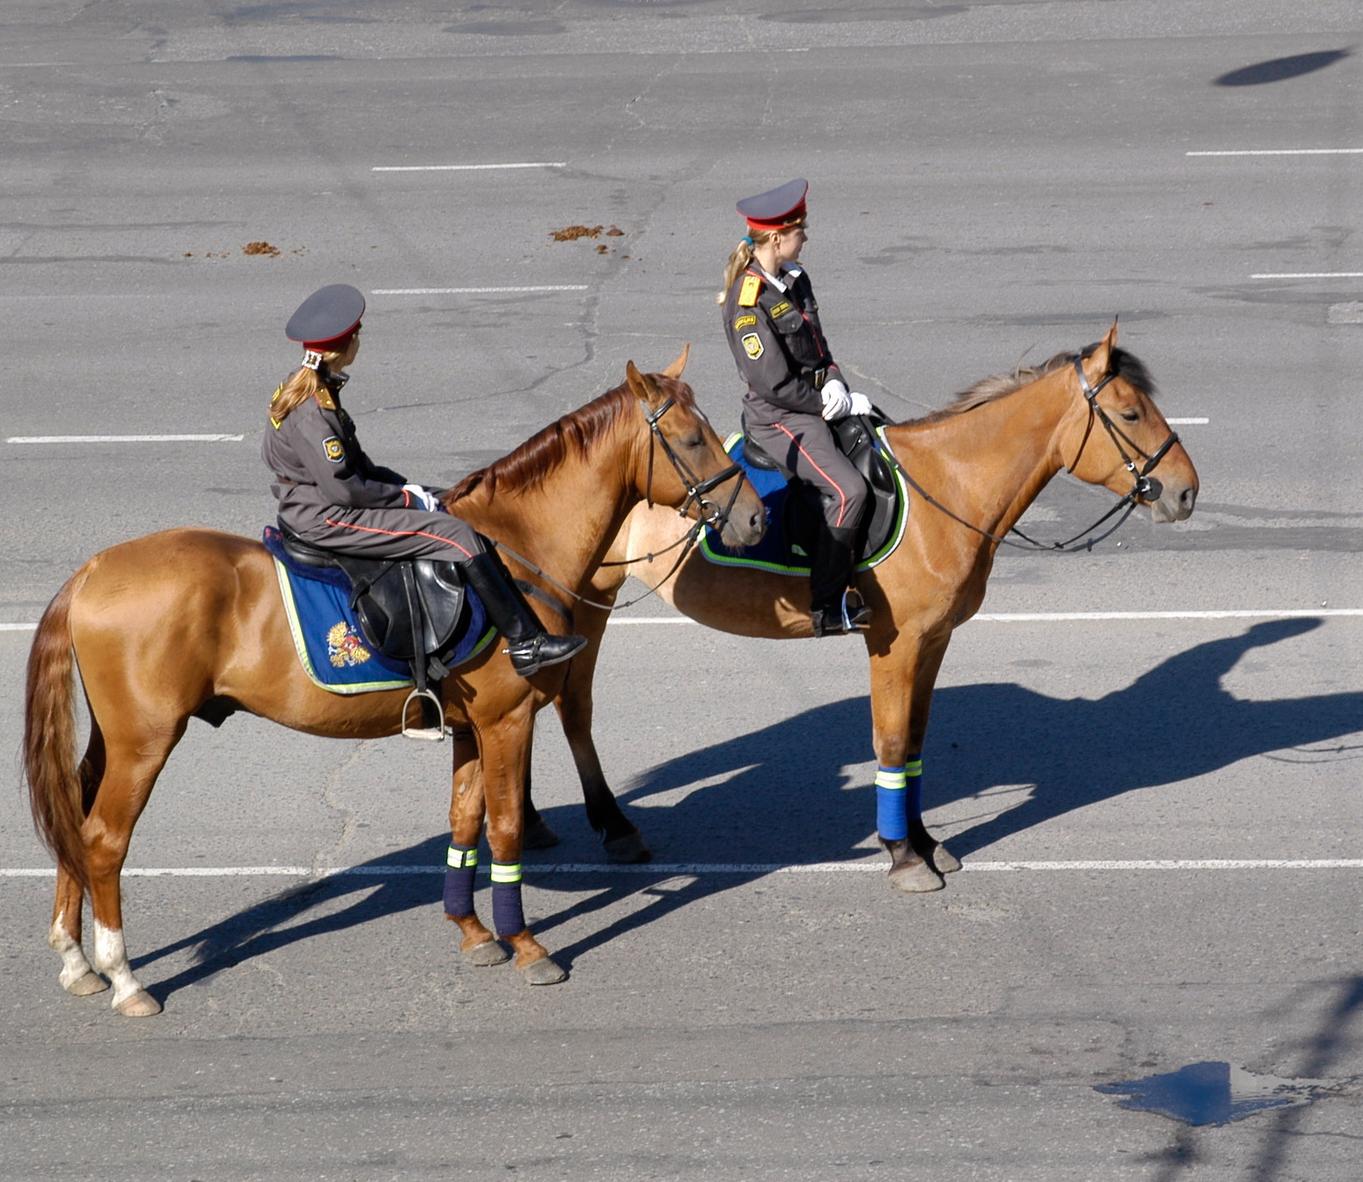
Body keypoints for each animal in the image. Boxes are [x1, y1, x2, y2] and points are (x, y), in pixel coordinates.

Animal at [24, 344, 768, 1014]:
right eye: (693, 438)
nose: (754, 516)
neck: (514, 551)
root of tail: (91, 569)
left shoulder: (472, 728)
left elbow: (464, 821)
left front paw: (472, 932)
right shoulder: (507, 721)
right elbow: (503, 828)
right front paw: (526, 944)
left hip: (114, 740)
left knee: (74, 815)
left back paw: (77, 961)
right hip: (145, 742)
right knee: (103, 840)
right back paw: (123, 977)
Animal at [526, 321, 1199, 888]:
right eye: (1131, 412)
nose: (1186, 491)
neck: (945, 485)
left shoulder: (935, 640)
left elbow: (917, 741)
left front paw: (924, 841)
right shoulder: (894, 643)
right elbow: (892, 741)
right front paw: (903, 855)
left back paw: (531, 822)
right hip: (587, 603)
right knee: (571, 706)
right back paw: (610, 826)